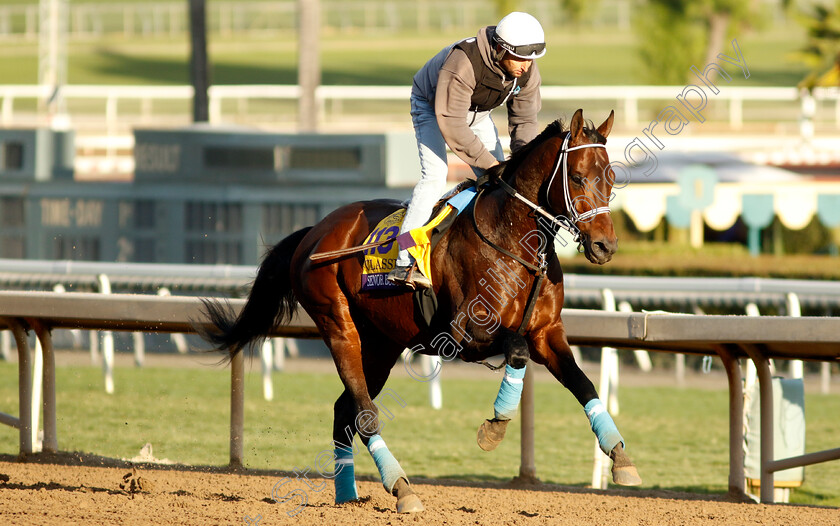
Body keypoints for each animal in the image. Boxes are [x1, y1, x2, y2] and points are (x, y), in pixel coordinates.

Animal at [200, 108, 640, 516]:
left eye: (611, 177)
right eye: (578, 177)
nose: (605, 246)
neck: (516, 241)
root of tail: (314, 231)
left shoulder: (547, 331)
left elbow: (584, 384)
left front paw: (620, 457)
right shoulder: (465, 334)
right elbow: (516, 351)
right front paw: (495, 427)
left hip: (381, 344)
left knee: (346, 410)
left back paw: (348, 495)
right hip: (338, 324)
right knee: (364, 412)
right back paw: (401, 488)